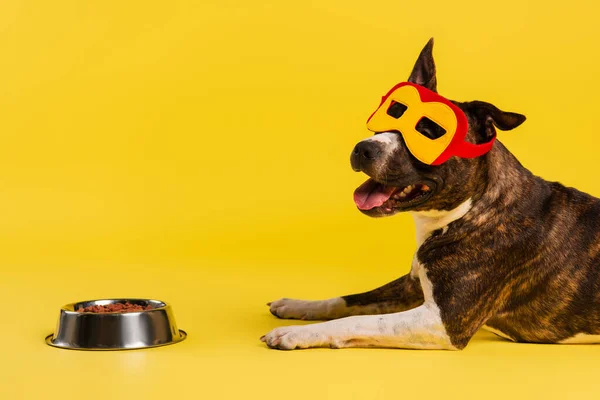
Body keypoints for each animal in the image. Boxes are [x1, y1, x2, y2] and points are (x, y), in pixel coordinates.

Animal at [258, 38, 600, 350]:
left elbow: (356, 320)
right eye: (390, 114)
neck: (470, 211)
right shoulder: (410, 286)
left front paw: (296, 334)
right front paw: (297, 305)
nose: (363, 148)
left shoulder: (443, 320)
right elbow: (346, 301)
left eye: (428, 133)